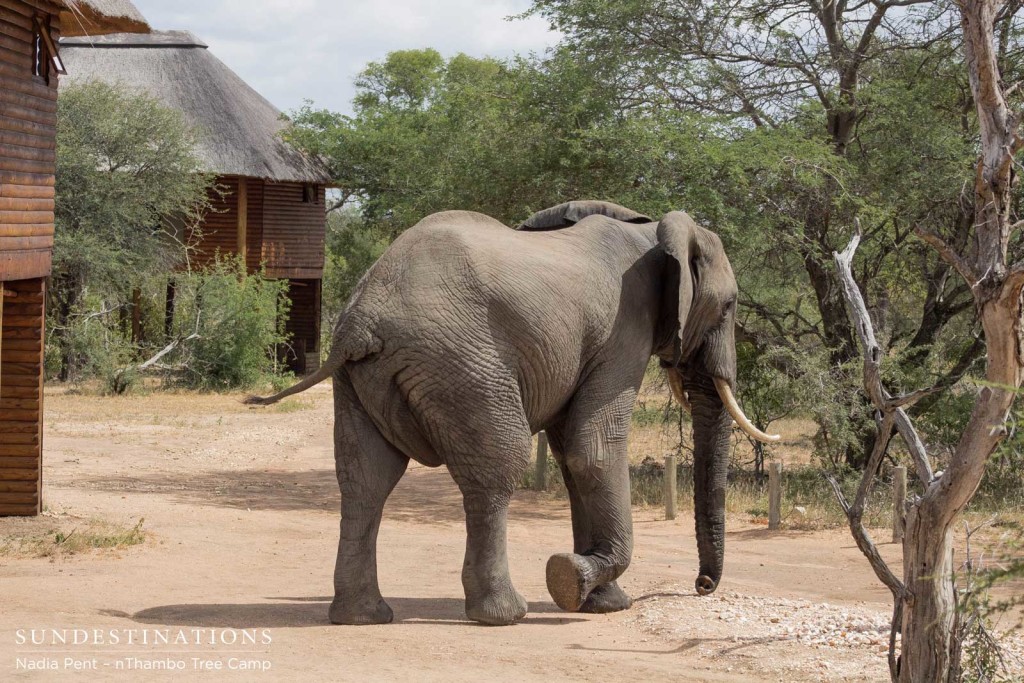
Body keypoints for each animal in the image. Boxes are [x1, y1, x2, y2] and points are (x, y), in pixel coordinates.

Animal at [245, 201, 774, 626]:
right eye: (729, 305)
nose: (702, 587)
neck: (653, 230)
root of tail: (361, 320)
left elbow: (570, 458)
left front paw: (599, 601)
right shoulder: (623, 331)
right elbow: (592, 450)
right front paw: (571, 579)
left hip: (362, 381)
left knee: (366, 478)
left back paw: (363, 617)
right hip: (463, 364)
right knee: (499, 466)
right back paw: (502, 615)